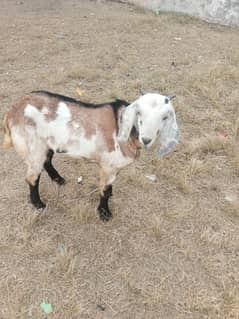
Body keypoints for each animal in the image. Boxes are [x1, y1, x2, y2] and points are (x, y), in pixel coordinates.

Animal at [0, 89, 178, 220]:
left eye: (165, 117)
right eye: (139, 113)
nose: (146, 139)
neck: (122, 127)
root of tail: (11, 112)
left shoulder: (113, 168)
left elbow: (109, 186)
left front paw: (111, 194)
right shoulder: (108, 166)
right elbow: (104, 190)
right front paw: (104, 212)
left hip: (47, 144)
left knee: (47, 161)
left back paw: (58, 179)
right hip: (34, 147)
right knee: (32, 177)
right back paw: (38, 204)